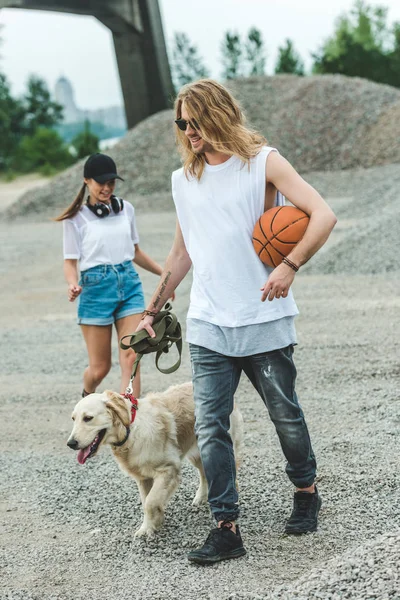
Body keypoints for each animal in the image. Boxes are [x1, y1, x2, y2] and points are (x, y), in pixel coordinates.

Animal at [67, 384, 242, 540]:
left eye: (88, 418)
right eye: (73, 419)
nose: (71, 443)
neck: (130, 430)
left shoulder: (168, 470)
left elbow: (150, 502)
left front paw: (155, 519)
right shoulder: (143, 478)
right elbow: (146, 502)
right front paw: (148, 526)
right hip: (199, 452)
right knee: (205, 473)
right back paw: (201, 497)